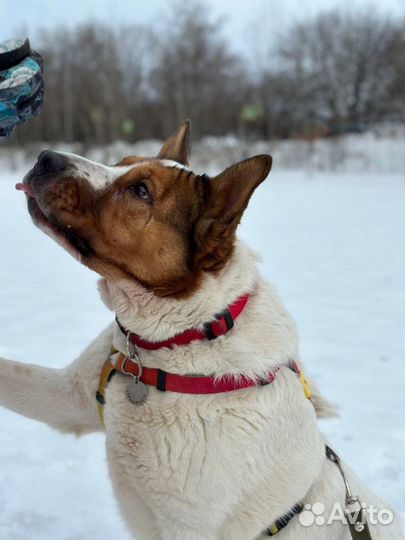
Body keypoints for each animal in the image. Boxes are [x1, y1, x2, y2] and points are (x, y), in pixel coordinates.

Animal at [0, 123, 400, 540]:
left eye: (140, 191)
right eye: (121, 162)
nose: (45, 158)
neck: (178, 341)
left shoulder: (190, 526)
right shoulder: (69, 395)